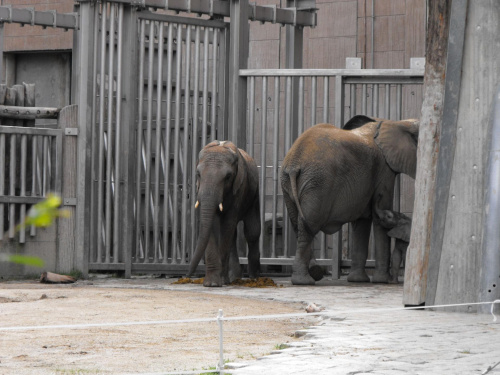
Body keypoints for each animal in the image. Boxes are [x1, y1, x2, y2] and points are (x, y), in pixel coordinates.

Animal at [186, 141, 260, 288]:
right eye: (198, 174)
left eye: (228, 177)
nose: (186, 276)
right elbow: (212, 226)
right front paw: (212, 284)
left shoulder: (239, 188)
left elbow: (227, 225)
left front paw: (219, 281)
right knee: (234, 235)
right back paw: (233, 278)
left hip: (254, 194)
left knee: (252, 232)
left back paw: (253, 278)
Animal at [282, 115, 418, 284]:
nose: (377, 197)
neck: (397, 123)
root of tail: (294, 163)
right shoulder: (384, 169)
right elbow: (378, 219)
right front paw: (381, 281)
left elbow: (362, 222)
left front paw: (358, 280)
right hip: (318, 183)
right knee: (308, 226)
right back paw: (304, 281)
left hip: (290, 185)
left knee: (298, 226)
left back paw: (313, 273)